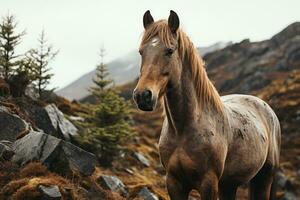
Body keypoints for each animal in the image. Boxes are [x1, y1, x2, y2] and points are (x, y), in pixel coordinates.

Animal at [134, 10, 282, 200]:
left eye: (169, 51)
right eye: (141, 52)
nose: (142, 96)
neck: (183, 129)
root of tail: (266, 108)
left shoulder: (208, 183)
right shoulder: (174, 182)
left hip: (265, 176)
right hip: (229, 183)